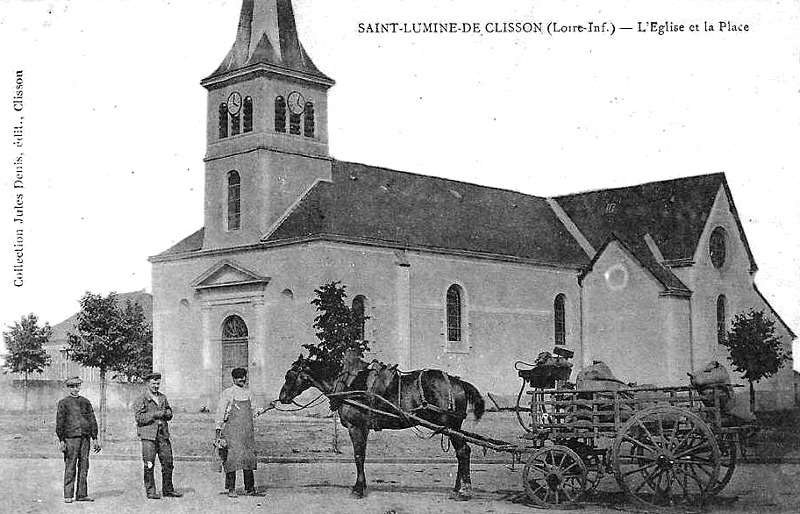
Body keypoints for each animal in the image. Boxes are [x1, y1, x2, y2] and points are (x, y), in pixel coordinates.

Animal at [278, 354, 484, 498]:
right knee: (461, 453)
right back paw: (457, 488)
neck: (348, 386)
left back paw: (464, 490)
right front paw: (361, 486)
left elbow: (358, 457)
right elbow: (361, 457)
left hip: (452, 426)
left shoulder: (356, 427)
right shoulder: (363, 429)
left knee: (463, 451)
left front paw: (358, 489)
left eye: (289, 375)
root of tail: (459, 382)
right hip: (451, 428)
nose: (282, 397)